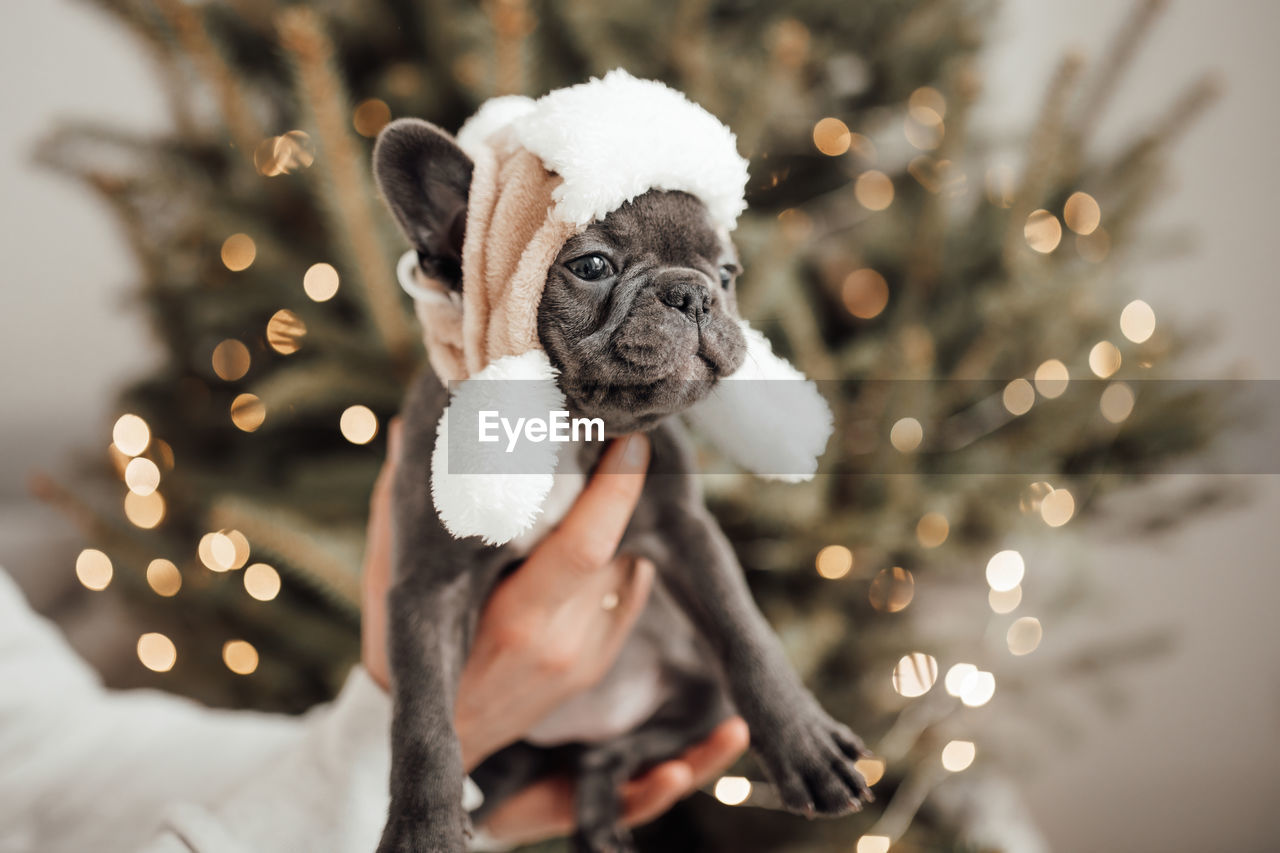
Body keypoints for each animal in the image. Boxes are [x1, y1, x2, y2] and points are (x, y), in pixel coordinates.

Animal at [371, 119, 870, 850]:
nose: (695, 293)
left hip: (702, 702)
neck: (573, 427)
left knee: (616, 752)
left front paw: (806, 743)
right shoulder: (428, 587)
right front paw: (423, 828)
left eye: (728, 274)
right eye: (591, 267)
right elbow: (423, 719)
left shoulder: (686, 533)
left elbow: (746, 633)